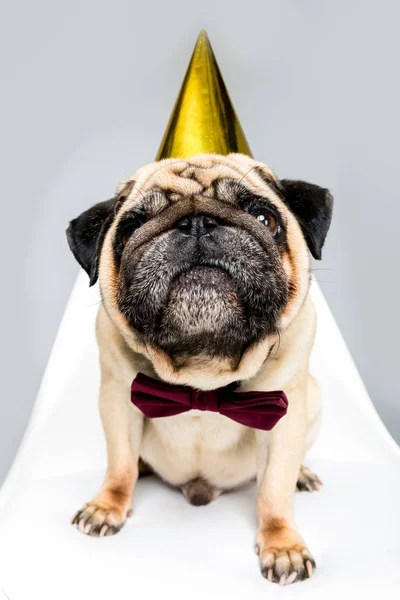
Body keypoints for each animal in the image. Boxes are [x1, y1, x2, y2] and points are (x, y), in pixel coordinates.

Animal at [67, 152, 332, 584]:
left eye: (264, 218)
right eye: (131, 229)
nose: (197, 223)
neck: (203, 371)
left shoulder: (284, 417)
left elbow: (274, 490)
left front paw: (282, 546)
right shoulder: (118, 402)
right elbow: (119, 465)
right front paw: (107, 506)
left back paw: (303, 474)